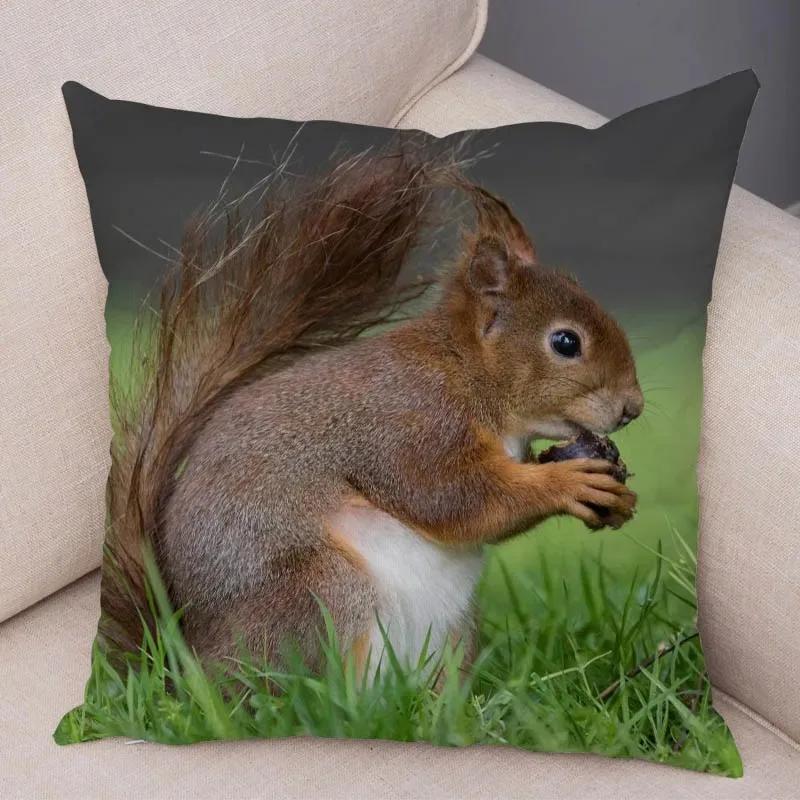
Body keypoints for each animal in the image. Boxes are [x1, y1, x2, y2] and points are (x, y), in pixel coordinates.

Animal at [100, 144, 643, 675]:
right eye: (566, 342)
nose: (633, 408)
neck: (465, 372)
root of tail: (185, 666)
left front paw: (616, 499)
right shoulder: (412, 423)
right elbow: (454, 498)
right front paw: (568, 482)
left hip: (453, 628)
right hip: (324, 593)